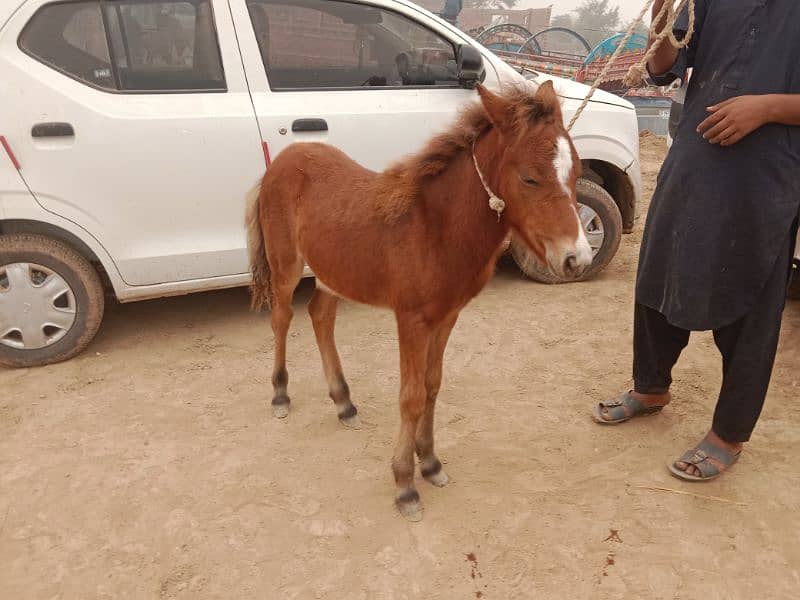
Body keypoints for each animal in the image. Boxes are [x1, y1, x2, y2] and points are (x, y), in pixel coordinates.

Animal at [247, 81, 592, 520]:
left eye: (577, 172)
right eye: (530, 179)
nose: (577, 259)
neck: (436, 227)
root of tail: (282, 160)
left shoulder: (446, 316)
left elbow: (432, 386)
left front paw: (429, 462)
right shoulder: (410, 319)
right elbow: (410, 396)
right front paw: (405, 484)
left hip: (333, 271)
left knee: (320, 315)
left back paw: (344, 403)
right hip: (286, 265)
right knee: (281, 317)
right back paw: (280, 394)